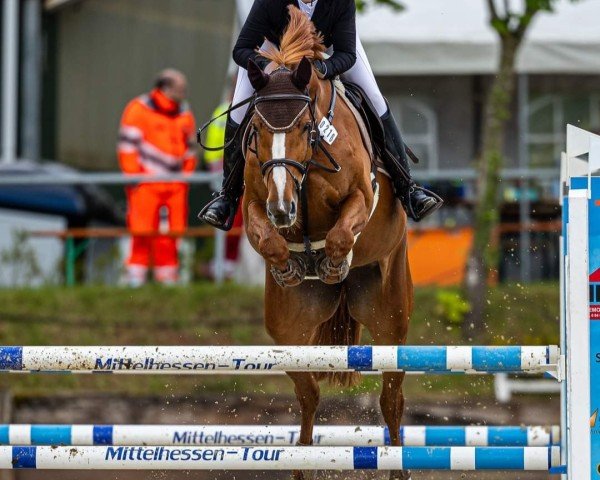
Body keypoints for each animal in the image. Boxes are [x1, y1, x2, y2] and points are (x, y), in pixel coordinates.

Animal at [241, 5, 410, 478]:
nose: (284, 208)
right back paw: (300, 464)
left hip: (391, 317)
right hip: (288, 331)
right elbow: (265, 234)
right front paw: (288, 265)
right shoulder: (255, 203)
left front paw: (334, 263)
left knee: (391, 399)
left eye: (302, 125)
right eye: (257, 128)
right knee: (308, 395)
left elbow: (341, 230)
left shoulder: (363, 196)